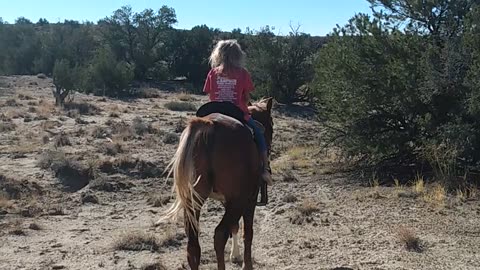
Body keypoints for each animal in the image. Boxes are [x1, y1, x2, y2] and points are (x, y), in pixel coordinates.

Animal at [156, 97, 272, 270]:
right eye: (271, 124)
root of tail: (208, 124)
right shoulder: (248, 199)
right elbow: (247, 232)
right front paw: (246, 264)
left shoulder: (228, 201)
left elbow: (235, 226)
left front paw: (235, 255)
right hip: (238, 200)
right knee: (219, 234)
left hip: (194, 201)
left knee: (193, 244)